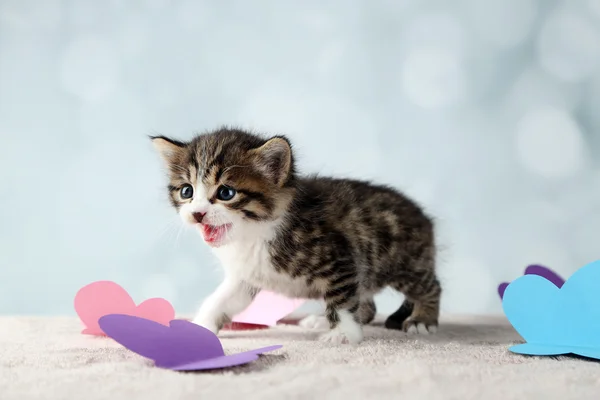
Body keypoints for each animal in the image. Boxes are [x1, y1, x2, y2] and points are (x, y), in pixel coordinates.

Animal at [150, 127, 440, 344]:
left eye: (225, 193)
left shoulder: (339, 258)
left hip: (405, 263)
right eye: (186, 191)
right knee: (367, 303)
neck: (254, 235)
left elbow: (342, 300)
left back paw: (422, 320)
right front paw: (200, 325)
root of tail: (423, 216)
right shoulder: (247, 275)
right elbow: (220, 299)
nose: (197, 213)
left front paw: (344, 333)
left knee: (431, 286)